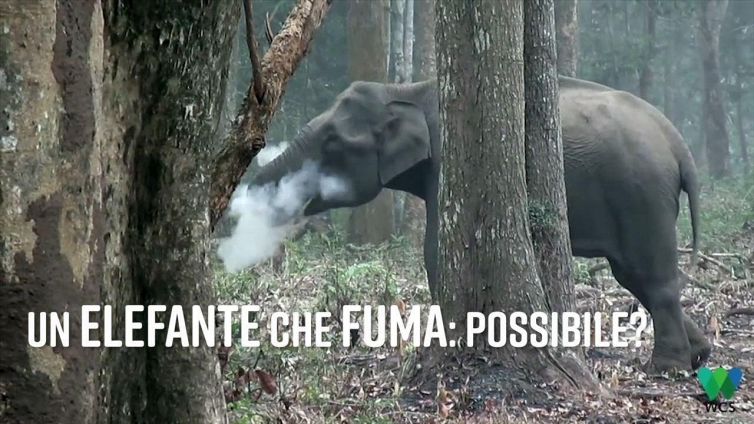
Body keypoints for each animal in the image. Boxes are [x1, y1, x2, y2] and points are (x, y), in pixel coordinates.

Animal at [251, 76, 711, 373]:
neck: (406, 90)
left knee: (650, 277)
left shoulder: (449, 161)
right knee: (635, 276)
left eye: (332, 143)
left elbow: (436, 251)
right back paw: (699, 355)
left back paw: (666, 369)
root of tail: (679, 144)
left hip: (642, 196)